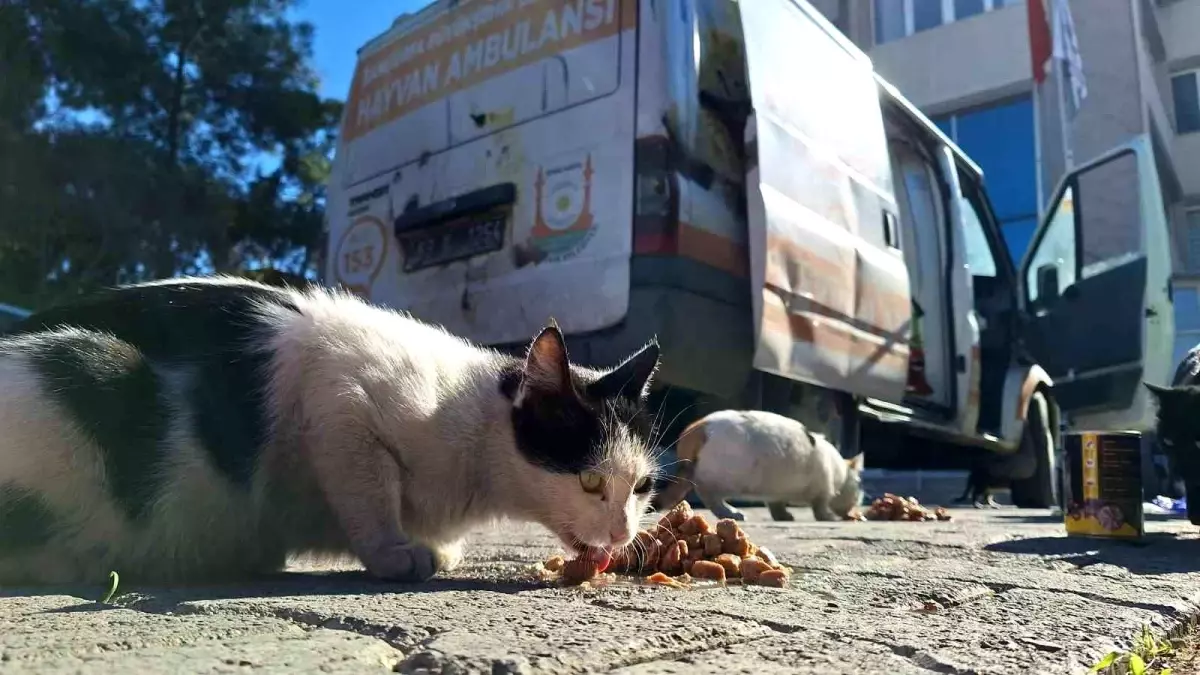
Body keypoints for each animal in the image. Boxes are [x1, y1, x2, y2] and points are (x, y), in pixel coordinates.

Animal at [0, 276, 667, 581]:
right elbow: (369, 494)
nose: (622, 532)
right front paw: (396, 552)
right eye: (589, 481)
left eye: (640, 488)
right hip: (92, 365)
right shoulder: (339, 399)